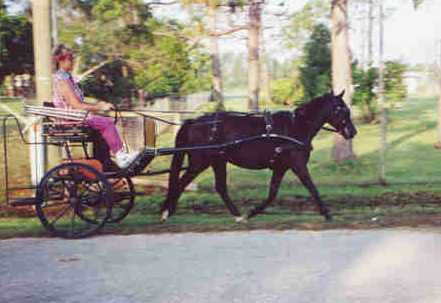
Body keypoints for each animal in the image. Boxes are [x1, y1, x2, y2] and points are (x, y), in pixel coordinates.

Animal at [160, 91, 356, 222]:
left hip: (218, 161)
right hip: (200, 162)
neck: (296, 126)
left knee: (220, 187)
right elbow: (312, 188)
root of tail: (193, 122)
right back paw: (167, 212)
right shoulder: (298, 165)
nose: (352, 132)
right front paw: (327, 213)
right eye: (341, 109)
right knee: (181, 183)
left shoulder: (281, 167)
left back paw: (238, 215)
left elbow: (272, 194)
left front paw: (252, 212)